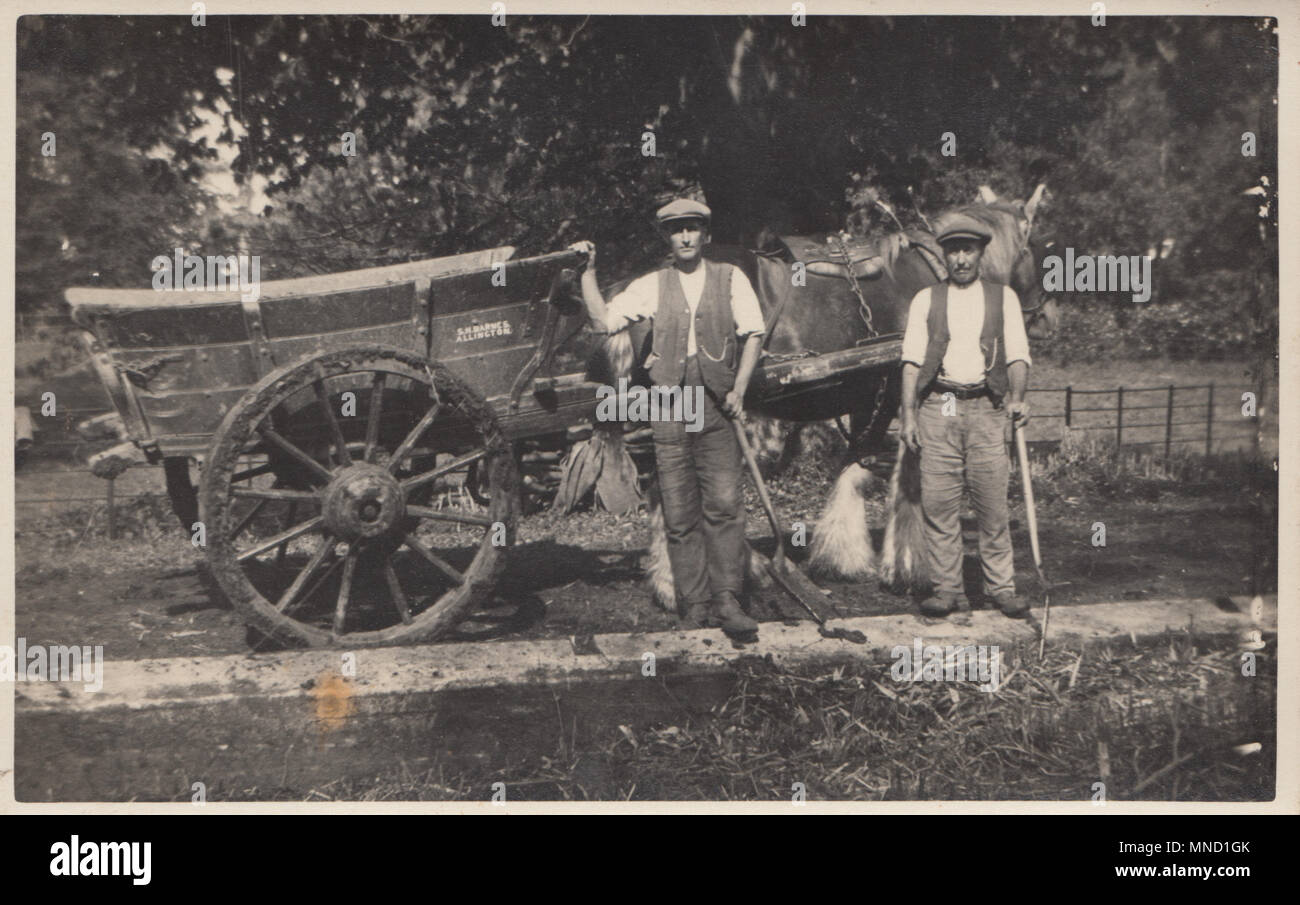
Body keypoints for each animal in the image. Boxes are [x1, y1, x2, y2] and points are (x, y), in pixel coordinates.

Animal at [595, 183, 1060, 608]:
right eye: (1035, 245)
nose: (1046, 318)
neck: (929, 272)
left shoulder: (866, 394)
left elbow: (855, 462)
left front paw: (841, 553)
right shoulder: (898, 388)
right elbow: (898, 472)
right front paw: (905, 566)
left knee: (656, 481)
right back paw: (728, 571)